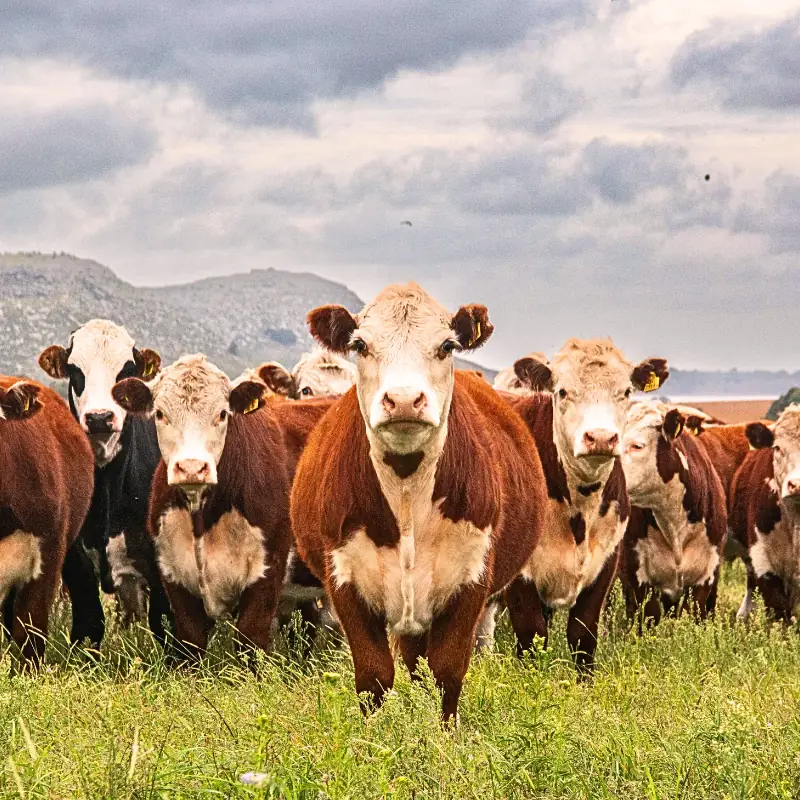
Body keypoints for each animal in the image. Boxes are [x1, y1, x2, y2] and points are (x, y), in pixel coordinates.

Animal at [38, 320, 171, 646]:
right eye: (75, 370)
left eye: (127, 370)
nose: (99, 417)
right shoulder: (75, 562)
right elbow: (88, 624)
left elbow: (164, 624)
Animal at [112, 354, 293, 659]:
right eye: (159, 414)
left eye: (222, 414)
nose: (192, 468)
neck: (202, 519)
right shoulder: (173, 574)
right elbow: (190, 641)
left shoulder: (268, 571)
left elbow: (250, 640)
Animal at [290, 283, 547, 722]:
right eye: (360, 344)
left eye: (447, 345)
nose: (405, 399)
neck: (407, 493)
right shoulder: (344, 581)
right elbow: (373, 676)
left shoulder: (470, 580)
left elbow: (446, 672)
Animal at [501, 340, 669, 672]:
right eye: (563, 391)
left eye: (626, 391)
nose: (601, 437)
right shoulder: (520, 573)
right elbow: (531, 635)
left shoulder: (605, 559)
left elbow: (583, 633)